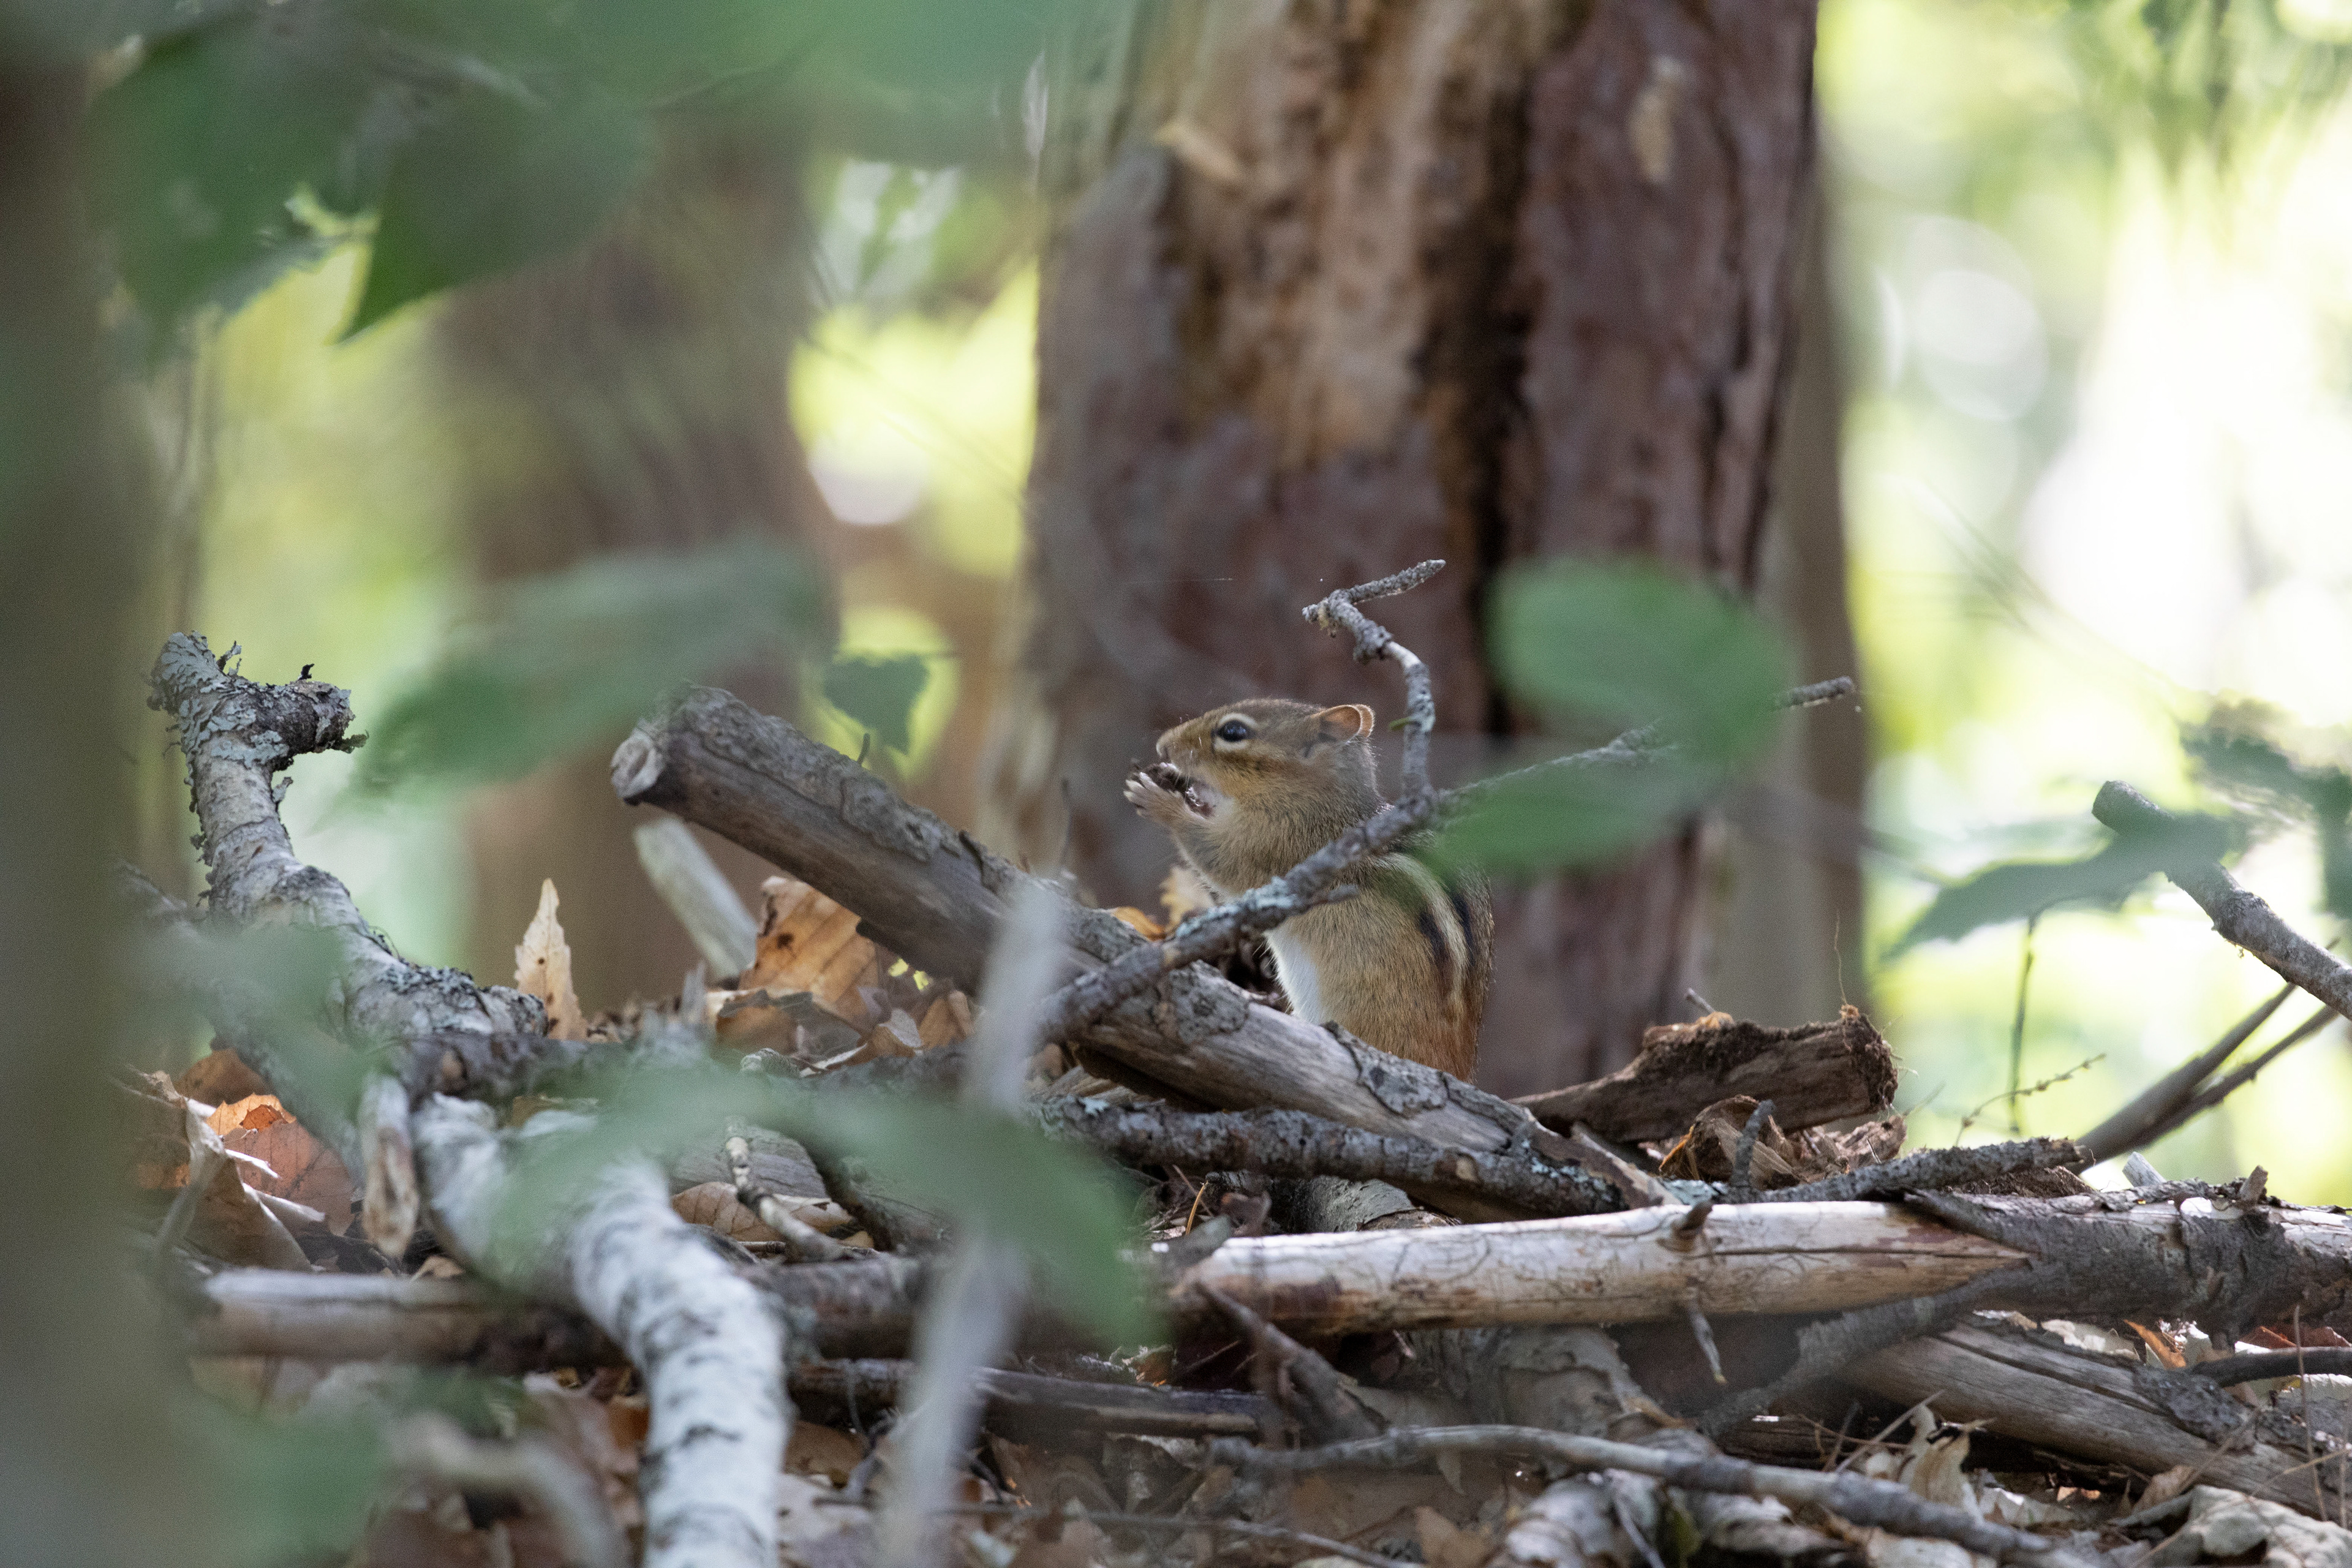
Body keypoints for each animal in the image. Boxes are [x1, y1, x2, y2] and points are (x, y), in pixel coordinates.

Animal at [1123, 698, 1492, 1079]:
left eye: (1233, 732)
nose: (1163, 746)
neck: (1315, 799)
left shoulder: (1276, 846)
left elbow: (1219, 857)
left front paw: (1159, 802)